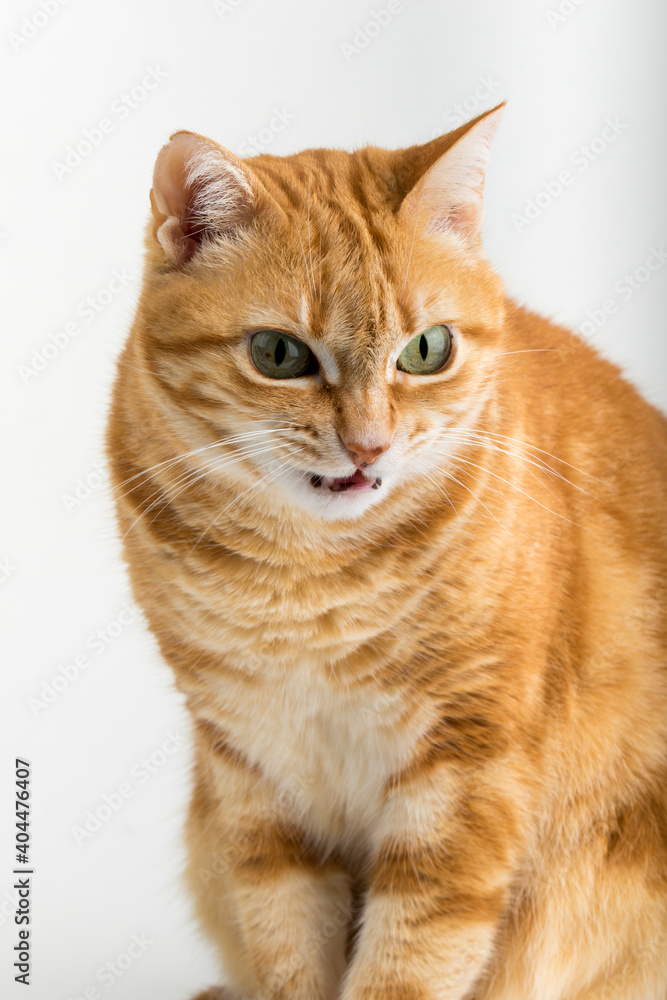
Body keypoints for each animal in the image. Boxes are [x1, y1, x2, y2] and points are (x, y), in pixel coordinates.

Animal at [107, 103, 664, 1000]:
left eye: (427, 349)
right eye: (278, 355)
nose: (368, 445)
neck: (307, 587)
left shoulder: (467, 768)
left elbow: (410, 961)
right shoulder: (254, 775)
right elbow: (287, 947)